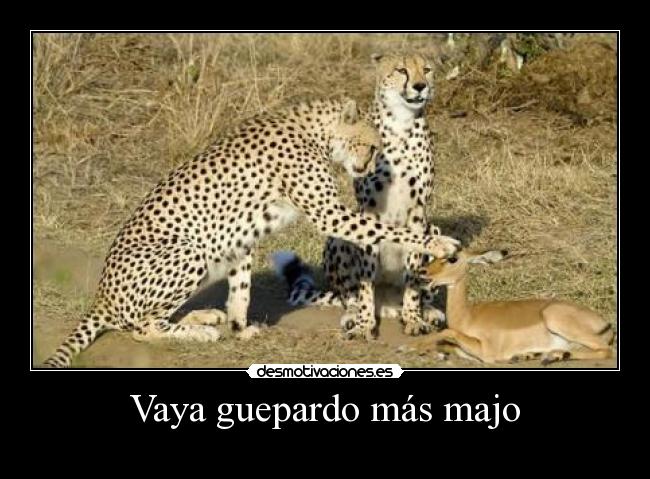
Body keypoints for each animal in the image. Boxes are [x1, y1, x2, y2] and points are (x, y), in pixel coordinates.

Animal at [43, 98, 460, 367]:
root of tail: (100, 295)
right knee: (140, 327)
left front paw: (239, 327)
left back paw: (202, 318)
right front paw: (438, 242)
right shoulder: (330, 214)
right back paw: (196, 332)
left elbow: (240, 289)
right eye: (371, 146)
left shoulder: (240, 237)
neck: (314, 130)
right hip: (189, 252)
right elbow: (385, 228)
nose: (369, 168)